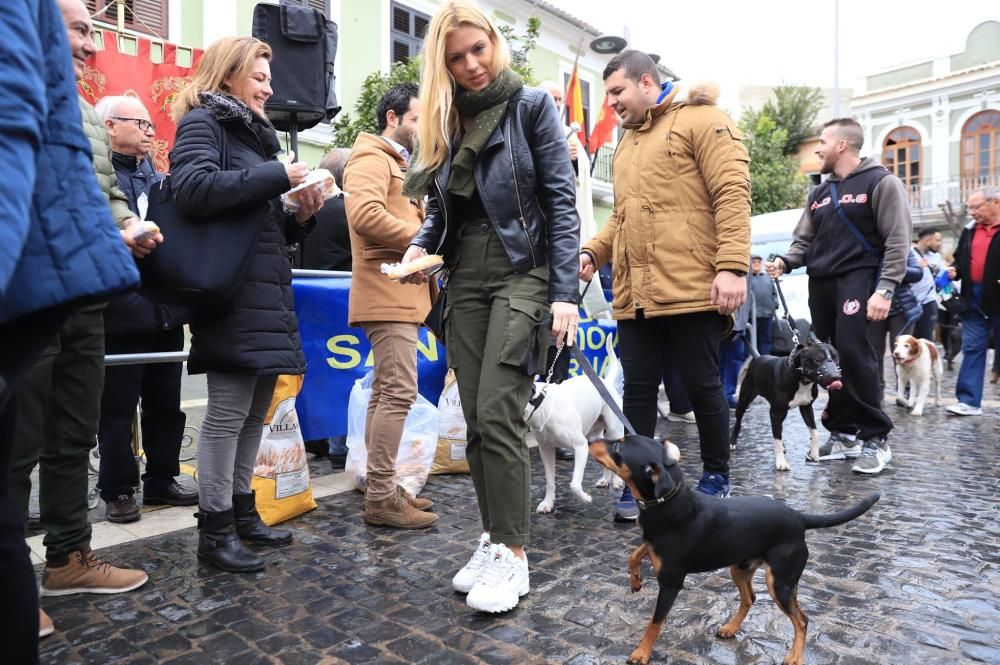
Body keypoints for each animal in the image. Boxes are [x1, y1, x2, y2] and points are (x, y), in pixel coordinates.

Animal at [528, 332, 620, 512]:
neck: (543, 406)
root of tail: (606, 383)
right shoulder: (546, 450)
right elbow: (550, 481)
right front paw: (548, 503)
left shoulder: (581, 446)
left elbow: (574, 485)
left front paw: (585, 498)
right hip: (596, 438)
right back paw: (606, 479)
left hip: (614, 431)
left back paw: (618, 481)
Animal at [588, 436, 880, 664]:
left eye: (618, 446)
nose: (589, 440)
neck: (667, 500)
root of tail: (799, 518)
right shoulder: (653, 546)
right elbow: (634, 554)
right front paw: (636, 581)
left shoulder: (671, 582)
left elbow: (655, 623)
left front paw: (641, 653)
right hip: (741, 569)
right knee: (750, 598)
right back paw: (730, 628)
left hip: (780, 583)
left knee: (801, 619)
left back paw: (795, 657)